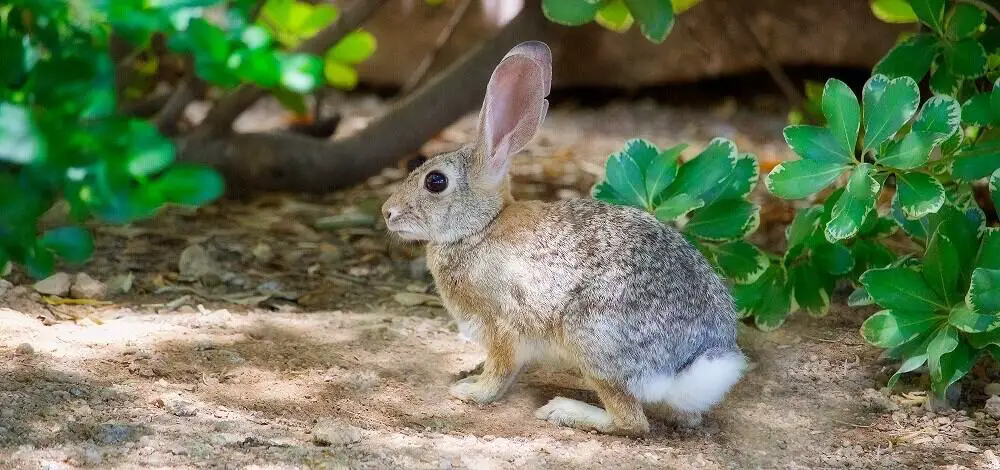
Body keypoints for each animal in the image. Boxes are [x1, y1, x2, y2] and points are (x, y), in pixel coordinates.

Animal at [382, 40, 752, 436]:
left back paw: (565, 410)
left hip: (590, 338)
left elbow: (500, 369)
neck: (481, 227)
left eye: (435, 181)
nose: (387, 212)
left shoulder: (502, 324)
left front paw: (471, 391)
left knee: (632, 421)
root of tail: (690, 365)